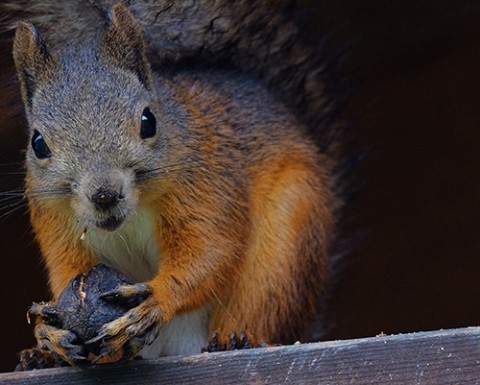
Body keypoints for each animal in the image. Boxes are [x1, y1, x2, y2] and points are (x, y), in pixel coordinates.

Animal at [1, 0, 344, 364]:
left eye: (148, 121)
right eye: (38, 143)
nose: (105, 194)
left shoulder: (205, 186)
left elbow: (209, 252)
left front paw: (156, 300)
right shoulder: (56, 221)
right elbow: (67, 272)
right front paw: (47, 332)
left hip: (282, 253)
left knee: (259, 306)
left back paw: (239, 341)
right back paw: (41, 357)